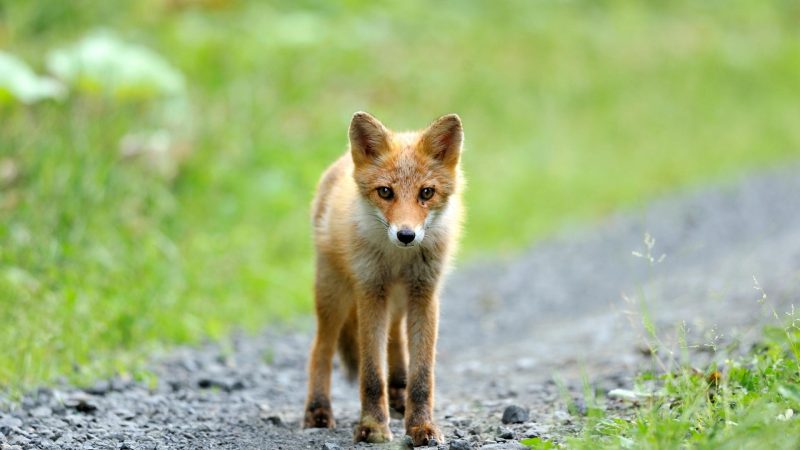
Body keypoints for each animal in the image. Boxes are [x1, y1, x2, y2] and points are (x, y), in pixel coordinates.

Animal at [304, 110, 468, 444]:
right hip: (334, 294)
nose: (406, 235)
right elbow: (370, 375)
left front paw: (421, 426)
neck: (398, 260)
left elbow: (422, 377)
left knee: (395, 342)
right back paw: (318, 410)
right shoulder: (371, 291)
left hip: (398, 302)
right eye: (385, 192)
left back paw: (398, 394)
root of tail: (341, 161)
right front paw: (373, 427)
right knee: (321, 349)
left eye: (426, 193)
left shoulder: (424, 293)